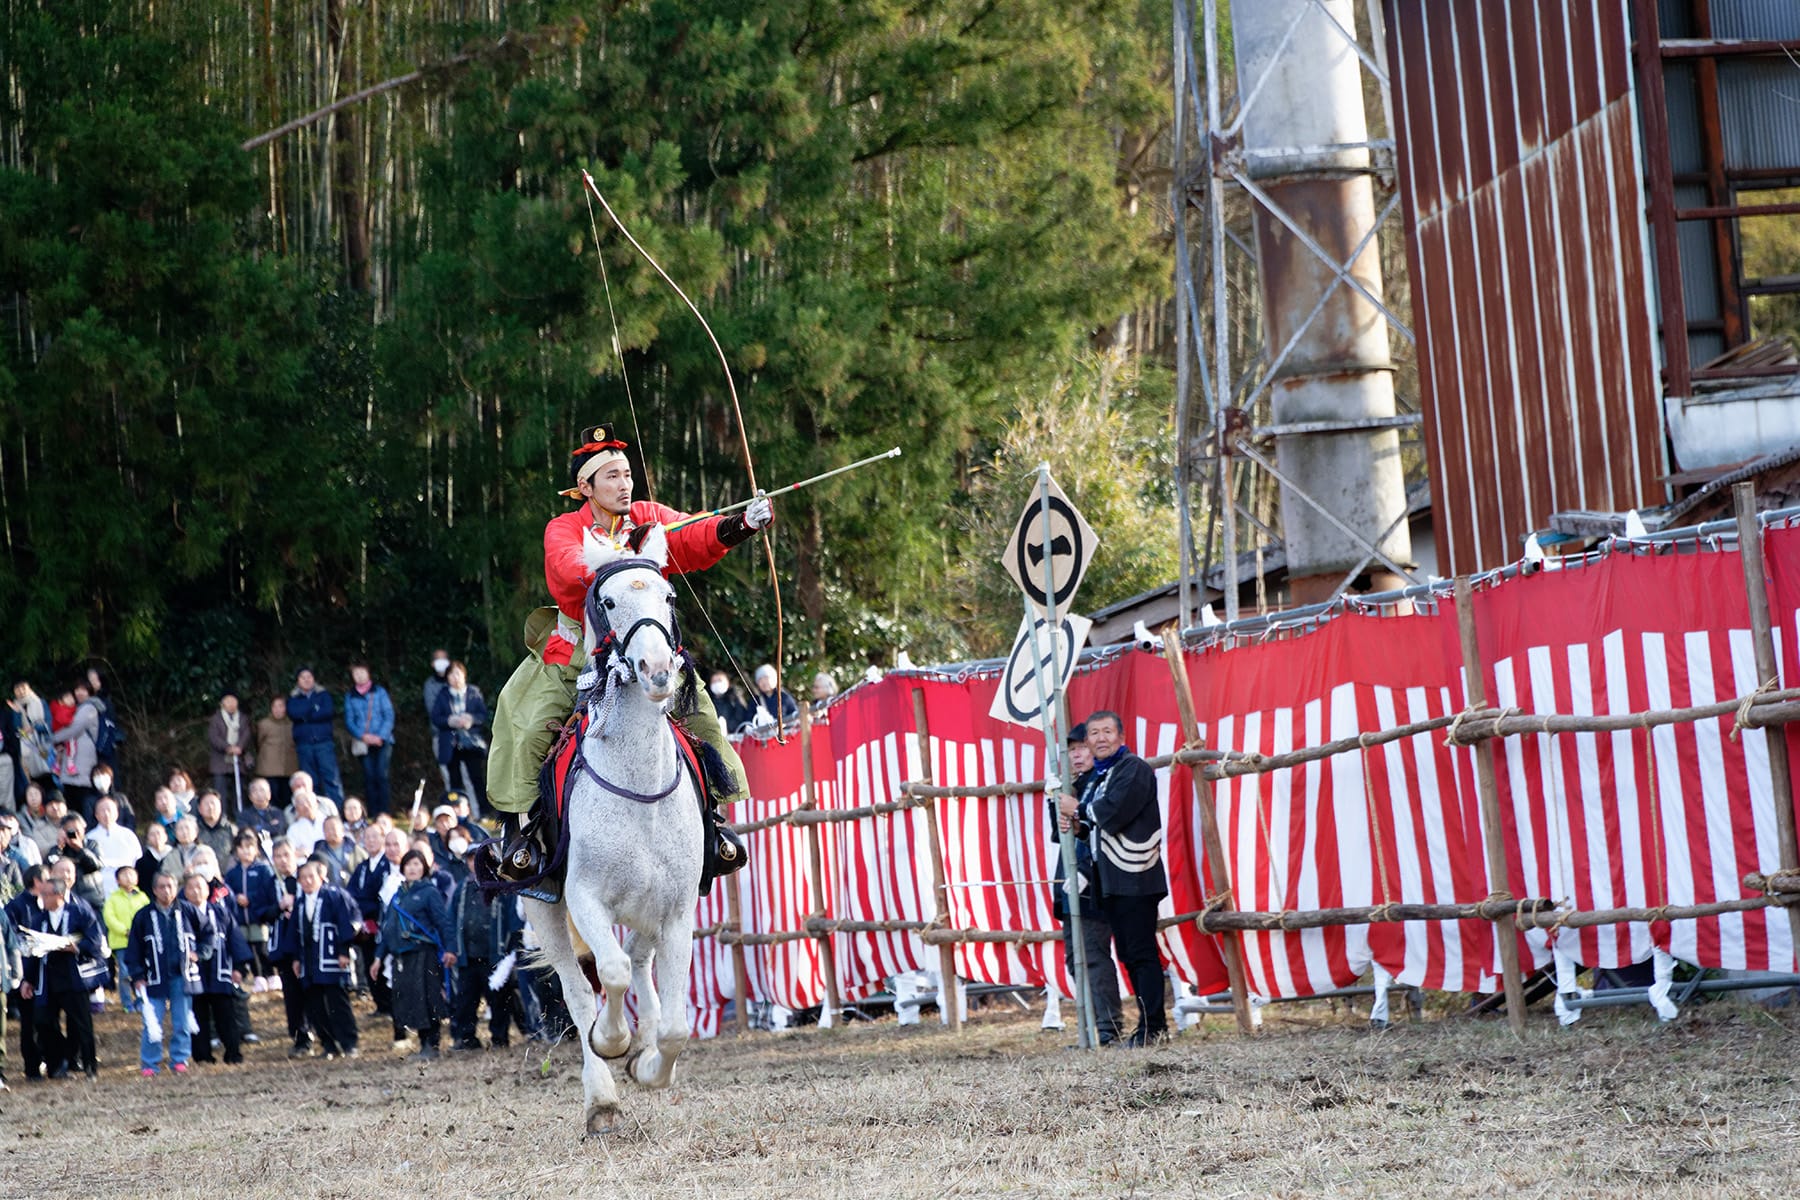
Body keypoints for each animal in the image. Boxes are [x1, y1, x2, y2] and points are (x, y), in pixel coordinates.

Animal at [522, 525, 702, 1137]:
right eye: (607, 601)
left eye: (668, 597)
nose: (656, 670)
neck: (637, 785)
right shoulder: (584, 898)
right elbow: (611, 973)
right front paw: (612, 1039)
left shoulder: (678, 910)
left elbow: (675, 1025)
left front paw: (649, 1064)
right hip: (544, 909)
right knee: (580, 988)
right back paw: (600, 1097)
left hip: (647, 909)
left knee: (641, 962)